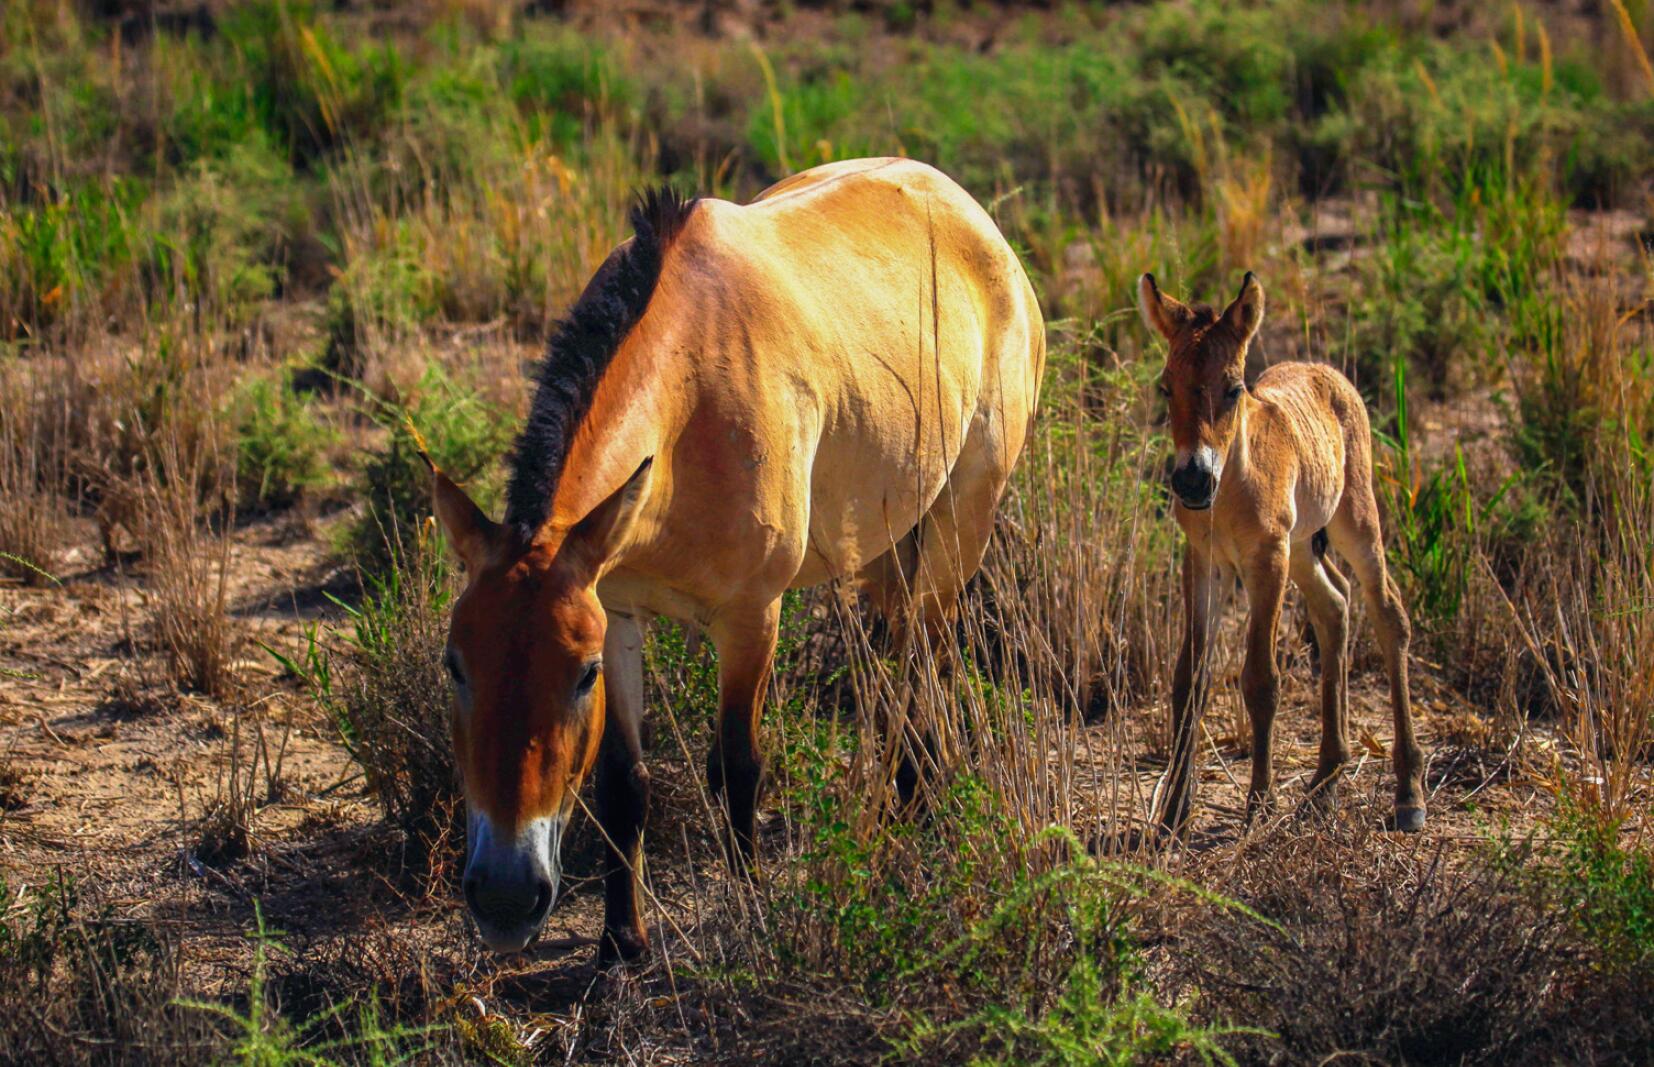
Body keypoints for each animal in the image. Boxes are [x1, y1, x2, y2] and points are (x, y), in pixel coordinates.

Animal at [430, 160, 1045, 966]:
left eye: (579, 676)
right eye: (455, 665)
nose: (505, 897)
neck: (690, 395)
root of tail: (975, 217)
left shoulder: (751, 619)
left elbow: (738, 768)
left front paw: (752, 915)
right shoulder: (616, 608)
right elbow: (623, 782)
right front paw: (621, 939)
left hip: (960, 526)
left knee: (922, 658)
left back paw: (909, 814)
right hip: (891, 544)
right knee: (898, 666)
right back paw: (900, 810)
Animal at [1137, 274, 1422, 840]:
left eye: (1233, 389)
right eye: (1165, 387)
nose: (1191, 482)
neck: (1230, 489)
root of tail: (1323, 371)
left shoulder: (1265, 561)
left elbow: (1261, 679)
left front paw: (1260, 803)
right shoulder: (1203, 563)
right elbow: (1189, 677)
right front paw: (1174, 811)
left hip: (1354, 519)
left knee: (1387, 612)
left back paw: (1407, 793)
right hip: (1303, 546)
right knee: (1335, 605)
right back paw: (1326, 781)